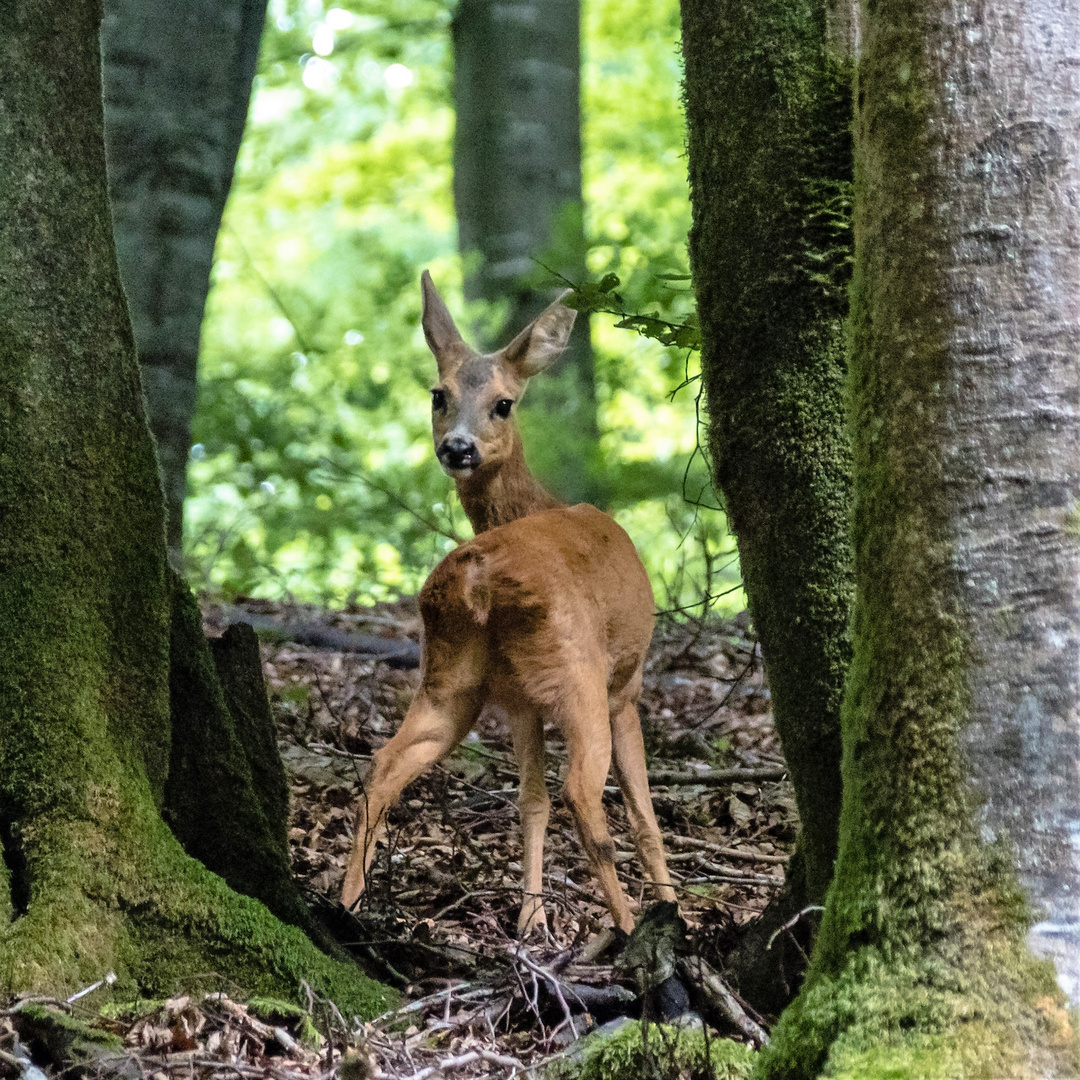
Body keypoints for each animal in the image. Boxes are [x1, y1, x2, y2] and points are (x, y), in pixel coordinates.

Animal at [341, 272, 669, 937]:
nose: (458, 448)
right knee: (583, 794)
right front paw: (673, 903)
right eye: (438, 394)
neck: (539, 503)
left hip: (452, 678)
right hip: (579, 675)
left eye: (504, 402)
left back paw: (345, 904)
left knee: (384, 765)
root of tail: (480, 578)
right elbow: (643, 815)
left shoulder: (518, 700)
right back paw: (627, 927)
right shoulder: (627, 684)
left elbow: (530, 801)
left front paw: (530, 917)